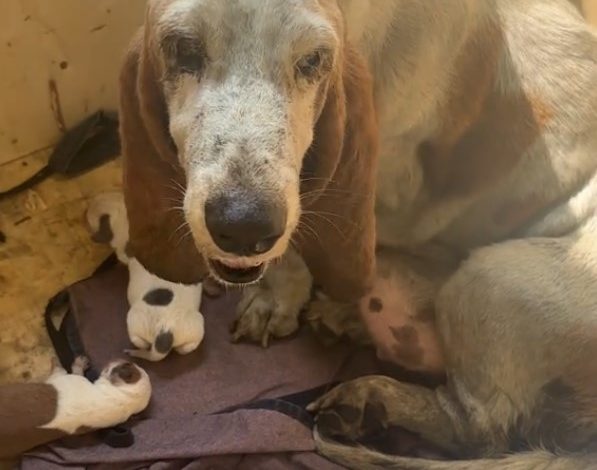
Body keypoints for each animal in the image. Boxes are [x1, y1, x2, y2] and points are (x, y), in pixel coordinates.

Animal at [0, 356, 151, 458]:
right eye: (130, 363)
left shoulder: (60, 378)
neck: (122, 398)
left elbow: (62, 370)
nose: (126, 359)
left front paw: (76, 363)